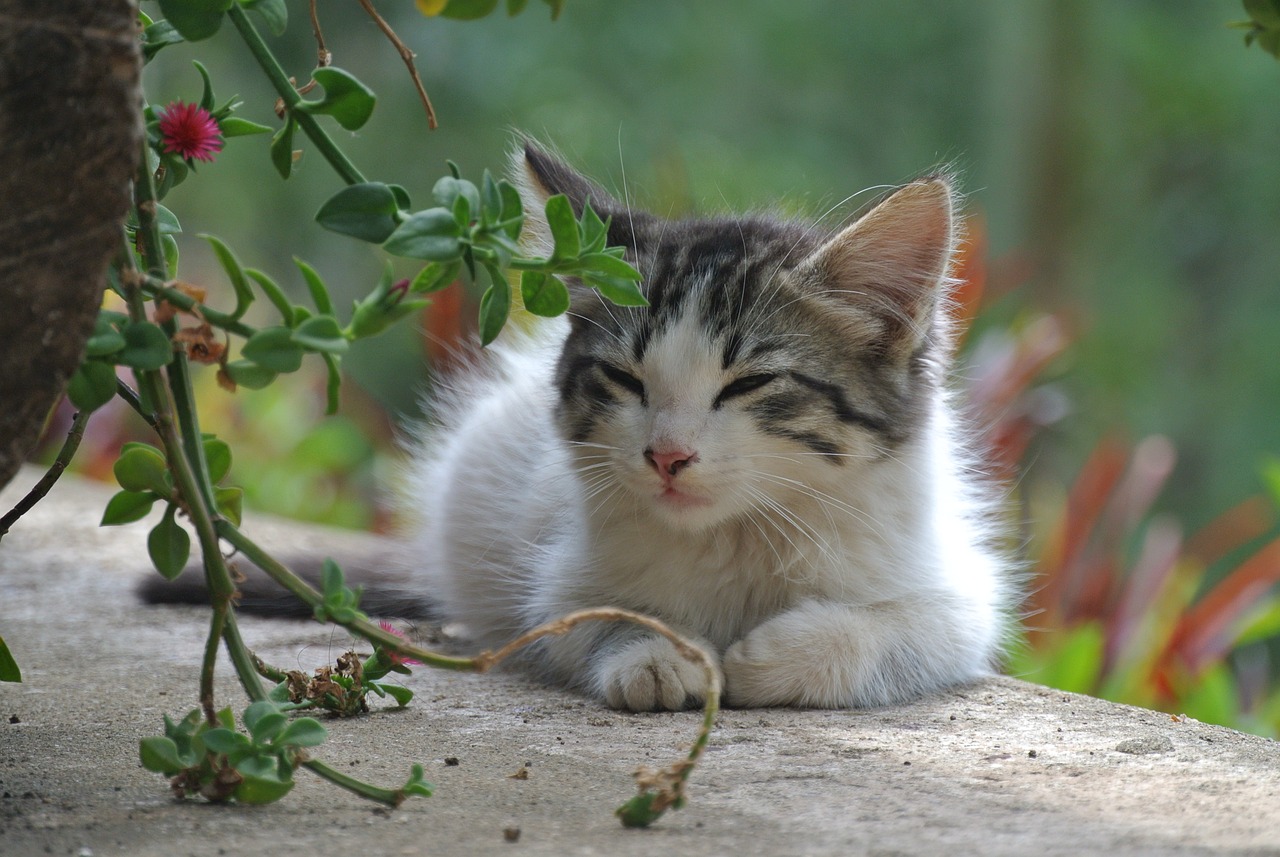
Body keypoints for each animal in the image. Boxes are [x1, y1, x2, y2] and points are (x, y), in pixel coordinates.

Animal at [394, 145, 1013, 711]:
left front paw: (768, 658)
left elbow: (901, 627)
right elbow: (590, 616)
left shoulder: (959, 595)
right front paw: (658, 653)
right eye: (623, 378)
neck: (738, 534)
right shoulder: (559, 579)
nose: (667, 456)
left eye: (750, 383)